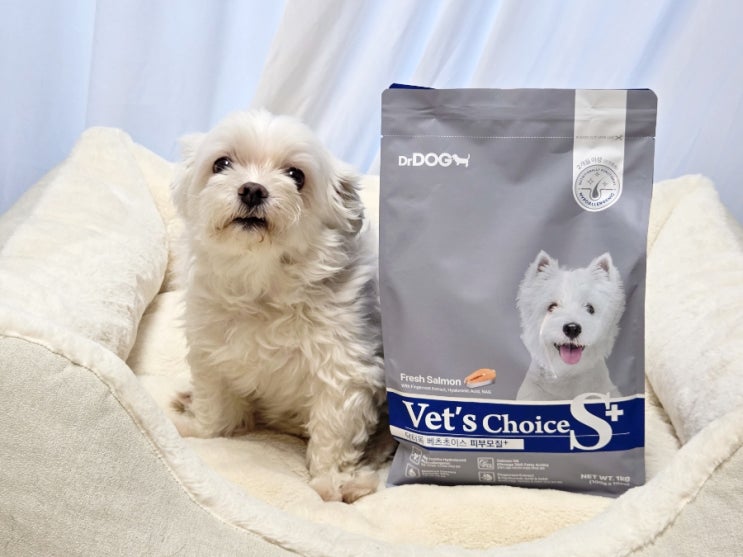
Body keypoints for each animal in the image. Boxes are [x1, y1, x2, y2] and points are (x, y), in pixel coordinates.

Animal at [169, 109, 394, 502]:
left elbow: (334, 433)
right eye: (221, 163)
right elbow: (215, 409)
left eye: (296, 175)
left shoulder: (344, 372)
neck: (263, 285)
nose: (253, 189)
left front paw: (332, 482)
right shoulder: (212, 353)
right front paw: (198, 427)